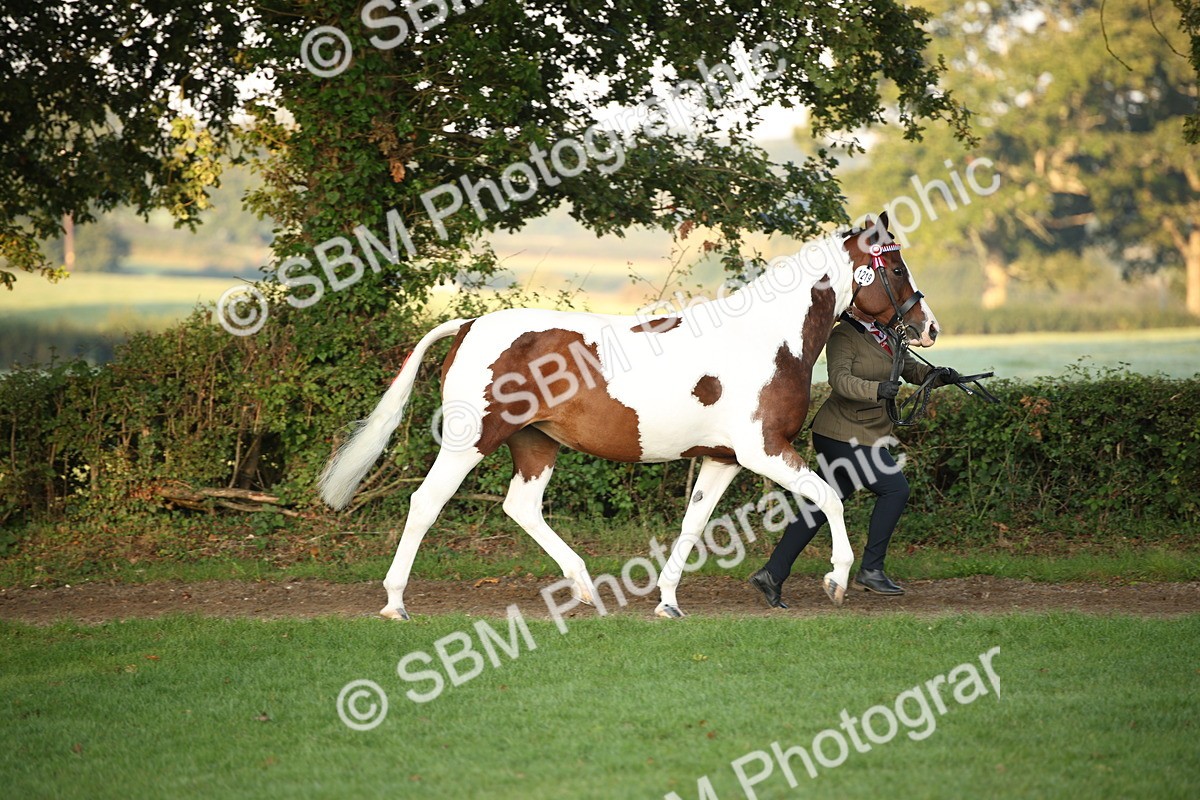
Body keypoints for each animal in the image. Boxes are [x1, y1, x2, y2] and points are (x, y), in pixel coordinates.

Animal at [319, 212, 939, 620]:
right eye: (896, 267)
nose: (928, 326)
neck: (767, 340)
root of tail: (469, 325)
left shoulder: (723, 460)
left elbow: (692, 525)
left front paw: (667, 603)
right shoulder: (764, 451)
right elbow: (830, 498)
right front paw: (837, 579)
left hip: (536, 443)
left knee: (521, 507)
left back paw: (585, 588)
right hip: (471, 442)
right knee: (425, 504)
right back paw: (395, 603)